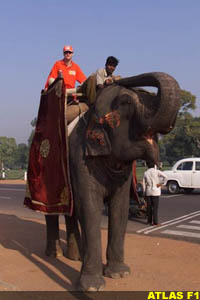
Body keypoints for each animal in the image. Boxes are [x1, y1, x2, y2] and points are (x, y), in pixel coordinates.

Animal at [44, 72, 180, 290]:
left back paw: (75, 257)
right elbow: (90, 207)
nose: (117, 78)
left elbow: (120, 207)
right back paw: (54, 254)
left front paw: (119, 274)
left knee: (71, 212)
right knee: (53, 211)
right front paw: (92, 286)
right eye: (126, 102)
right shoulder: (80, 158)